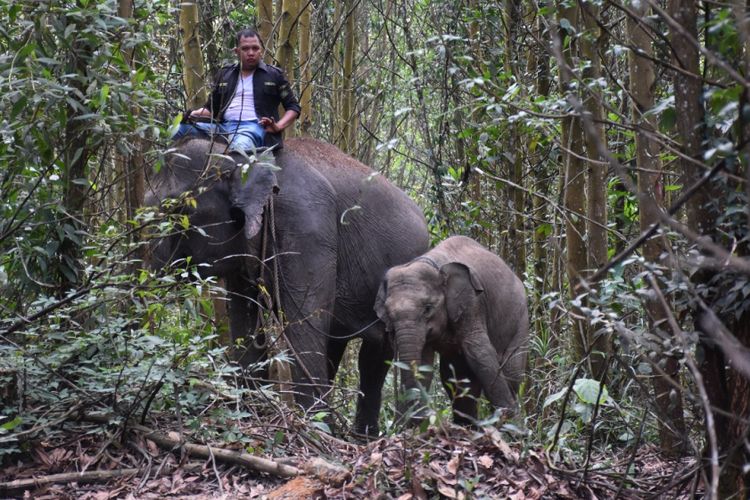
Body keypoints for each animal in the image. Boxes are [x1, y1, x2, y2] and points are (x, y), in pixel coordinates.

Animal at [147, 137, 428, 434]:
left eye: (178, 210)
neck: (243, 157)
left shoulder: (307, 224)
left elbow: (303, 321)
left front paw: (317, 429)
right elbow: (244, 318)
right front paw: (253, 410)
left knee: (374, 354)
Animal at [374, 236, 528, 424]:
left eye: (427, 308)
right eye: (388, 313)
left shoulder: (472, 301)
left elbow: (479, 351)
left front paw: (510, 419)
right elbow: (424, 362)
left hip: (521, 320)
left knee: (512, 371)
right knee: (457, 379)